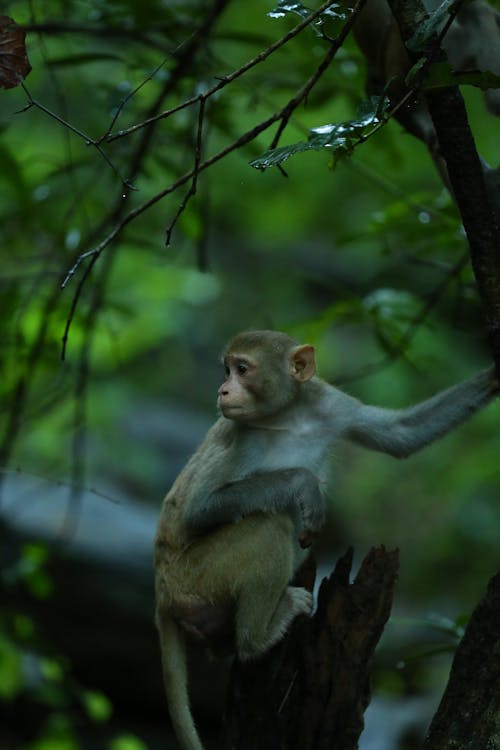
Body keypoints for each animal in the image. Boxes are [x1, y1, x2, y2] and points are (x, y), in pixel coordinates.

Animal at [154, 330, 498, 750]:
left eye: (242, 369)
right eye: (227, 369)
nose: (222, 390)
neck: (287, 417)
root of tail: (162, 592)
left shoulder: (330, 405)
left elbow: (400, 435)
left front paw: (494, 376)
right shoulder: (237, 434)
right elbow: (197, 509)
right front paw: (303, 483)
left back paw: (231, 642)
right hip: (197, 575)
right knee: (269, 525)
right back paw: (258, 639)